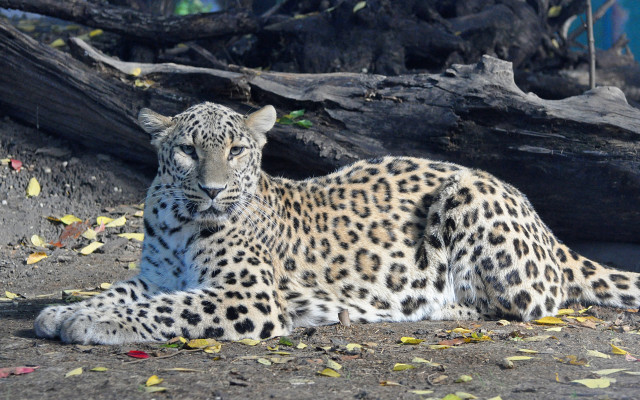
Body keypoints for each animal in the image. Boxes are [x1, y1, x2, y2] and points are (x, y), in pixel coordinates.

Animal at [34, 102, 640, 344]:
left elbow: (166, 309)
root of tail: (549, 232)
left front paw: (87, 323)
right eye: (186, 150)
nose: (212, 189)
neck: (183, 221)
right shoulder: (156, 275)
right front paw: (63, 312)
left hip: (468, 199)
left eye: (236, 151)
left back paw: (424, 305)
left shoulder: (247, 296)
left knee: (530, 302)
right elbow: (121, 292)